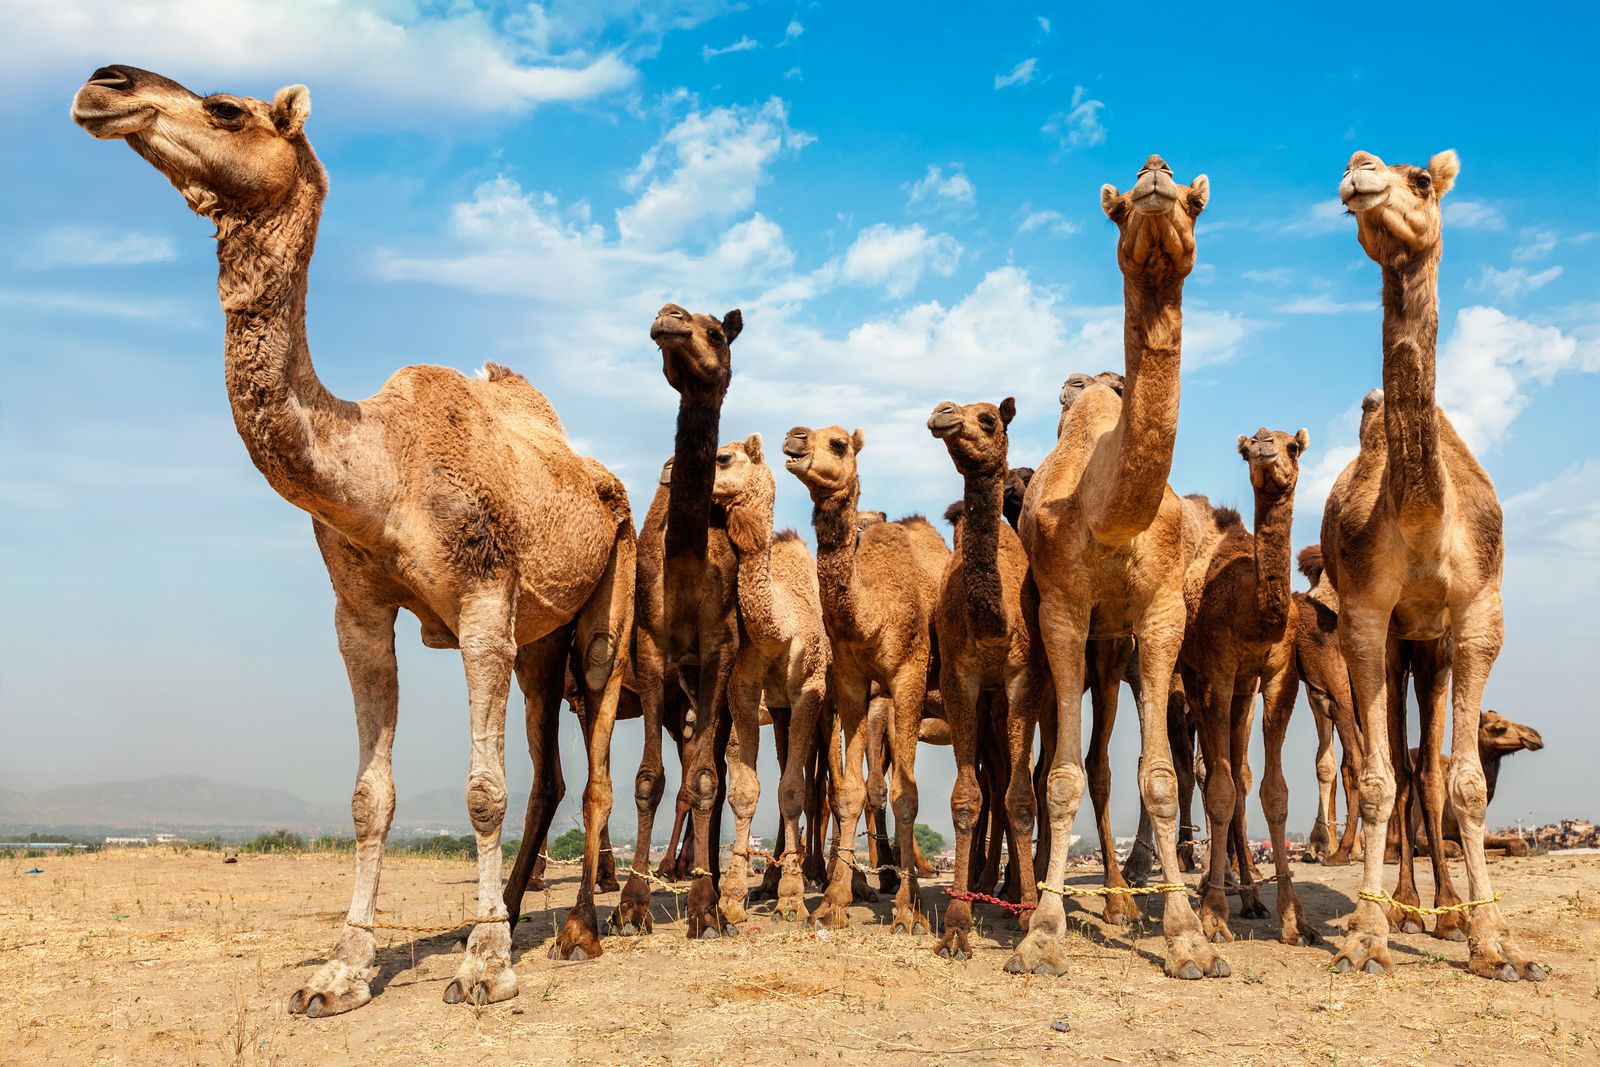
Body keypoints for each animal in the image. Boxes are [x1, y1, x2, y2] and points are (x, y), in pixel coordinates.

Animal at [70, 66, 634, 1013]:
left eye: (226, 109)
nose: (104, 85)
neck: (381, 466)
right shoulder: (359, 611)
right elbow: (372, 794)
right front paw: (344, 968)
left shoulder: (483, 597)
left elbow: (481, 789)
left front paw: (483, 965)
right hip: (538, 641)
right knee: (552, 770)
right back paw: (519, 908)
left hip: (607, 595)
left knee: (594, 760)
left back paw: (581, 930)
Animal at [783, 426, 949, 932]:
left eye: (838, 443)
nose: (794, 438)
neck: (872, 612)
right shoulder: (853, 684)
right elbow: (852, 790)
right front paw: (834, 901)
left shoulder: (906, 679)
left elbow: (904, 794)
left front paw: (907, 909)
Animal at [1013, 155, 1223, 980]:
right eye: (1117, 206)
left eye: (1196, 201)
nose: (1157, 174)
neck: (1106, 508)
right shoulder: (1064, 611)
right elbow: (1061, 774)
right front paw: (1041, 933)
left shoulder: (1160, 612)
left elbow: (1158, 776)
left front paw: (1188, 937)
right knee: (1067, 763)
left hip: (1115, 652)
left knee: (1107, 762)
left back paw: (1120, 903)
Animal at [1179, 428, 1319, 948]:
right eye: (1247, 449)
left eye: (1293, 446)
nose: (1263, 446)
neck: (1254, 614)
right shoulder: (1219, 671)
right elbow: (1219, 788)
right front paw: (1214, 916)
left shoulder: (1279, 675)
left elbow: (1272, 792)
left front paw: (1295, 919)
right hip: (1195, 677)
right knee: (1211, 773)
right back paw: (1212, 889)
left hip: (1243, 691)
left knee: (1239, 772)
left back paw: (1252, 897)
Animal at [1323, 148, 1542, 981]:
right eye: (1357, 178)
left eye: (1421, 180)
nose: (1360, 174)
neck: (1421, 513)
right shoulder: (1363, 615)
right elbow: (1380, 778)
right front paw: (1368, 935)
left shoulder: (1478, 611)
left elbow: (1468, 782)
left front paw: (1493, 942)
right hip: (1398, 643)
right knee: (1406, 760)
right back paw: (1408, 905)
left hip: (1434, 646)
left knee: (1430, 763)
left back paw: (1444, 911)